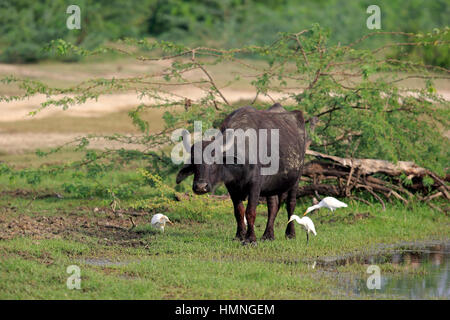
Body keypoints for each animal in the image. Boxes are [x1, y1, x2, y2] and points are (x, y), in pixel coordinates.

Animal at [176, 104, 306, 244]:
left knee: (291, 204)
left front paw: (251, 238)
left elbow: (250, 212)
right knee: (273, 205)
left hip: (296, 179)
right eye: (194, 162)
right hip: (271, 185)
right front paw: (240, 235)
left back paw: (290, 233)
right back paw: (268, 235)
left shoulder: (255, 185)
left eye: (215, 161)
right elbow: (238, 211)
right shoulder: (232, 187)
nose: (200, 187)